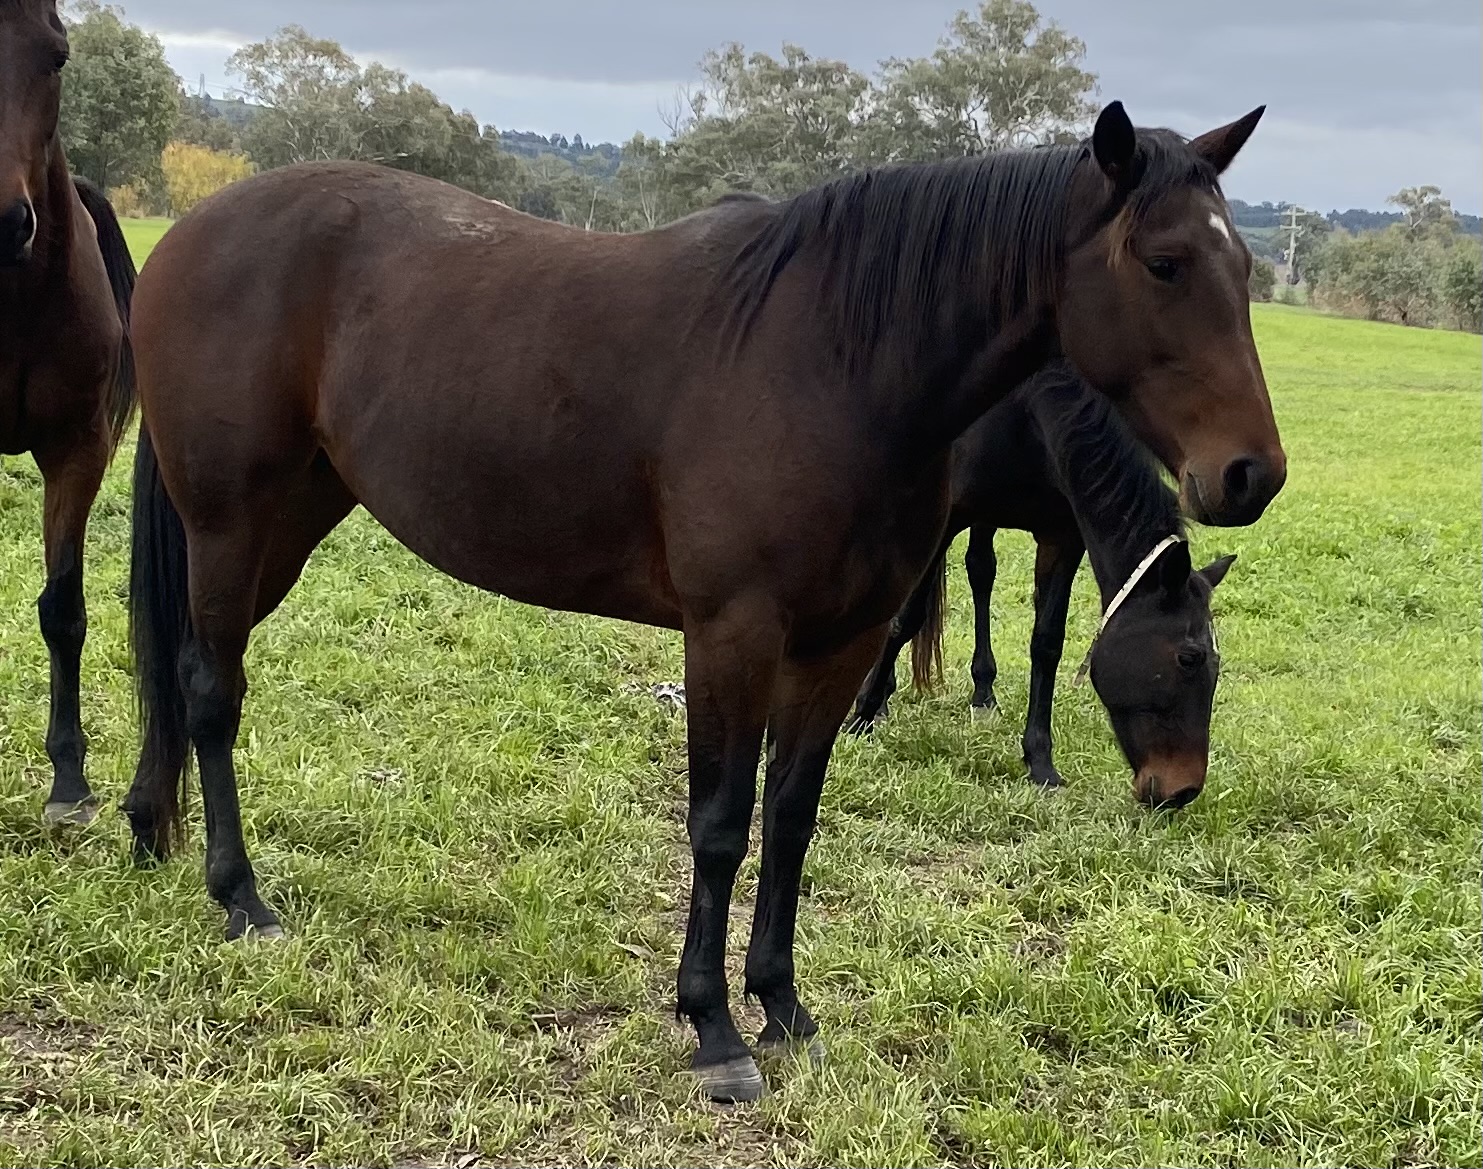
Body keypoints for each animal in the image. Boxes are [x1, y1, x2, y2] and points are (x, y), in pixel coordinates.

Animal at [849, 363, 1235, 802]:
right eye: (1189, 658)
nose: (1183, 790)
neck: (1026, 411)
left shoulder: (1062, 536)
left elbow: (1047, 642)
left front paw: (1040, 762)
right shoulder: (948, 517)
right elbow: (906, 618)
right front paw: (863, 714)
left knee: (981, 570)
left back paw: (983, 694)